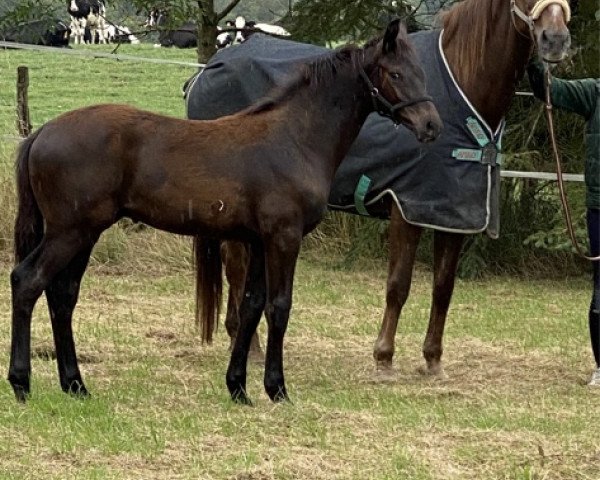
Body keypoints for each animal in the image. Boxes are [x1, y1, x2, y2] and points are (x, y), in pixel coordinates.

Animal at [8, 18, 440, 404]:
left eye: (421, 72)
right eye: (396, 73)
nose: (431, 126)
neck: (294, 139)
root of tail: (41, 133)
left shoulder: (260, 240)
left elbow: (251, 306)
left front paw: (239, 388)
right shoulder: (284, 237)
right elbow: (279, 307)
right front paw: (277, 389)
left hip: (85, 233)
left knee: (62, 295)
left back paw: (75, 385)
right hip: (69, 232)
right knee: (27, 281)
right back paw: (22, 383)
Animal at [213, 0, 568, 378]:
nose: (556, 40)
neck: (464, 86)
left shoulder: (452, 217)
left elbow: (443, 288)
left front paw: (433, 359)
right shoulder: (406, 210)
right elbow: (398, 285)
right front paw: (383, 357)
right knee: (235, 268)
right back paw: (248, 346)